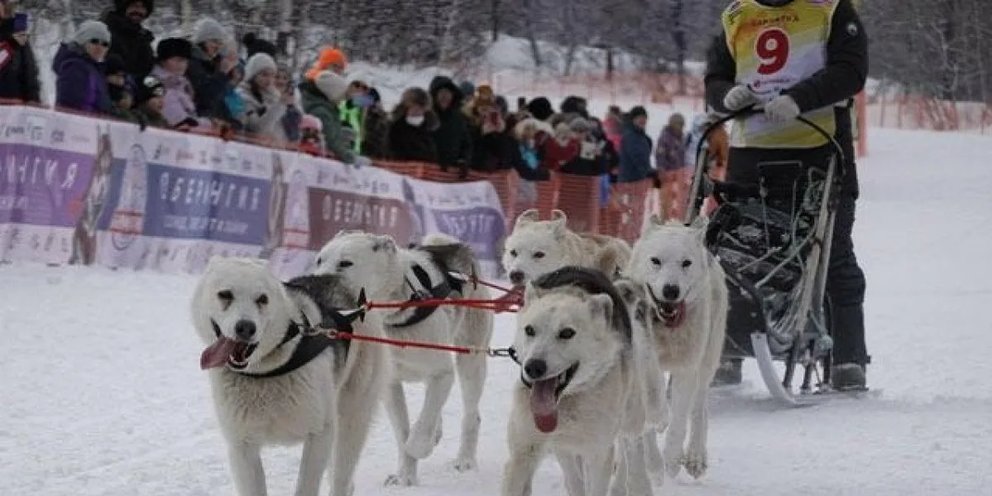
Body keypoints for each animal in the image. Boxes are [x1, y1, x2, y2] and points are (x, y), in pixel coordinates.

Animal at [190, 258, 388, 494]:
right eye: (225, 294)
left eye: (262, 299)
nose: (246, 328)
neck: (265, 372)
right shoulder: (242, 446)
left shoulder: (320, 434)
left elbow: (306, 487)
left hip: (351, 421)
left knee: (341, 479)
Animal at [314, 231, 492, 486]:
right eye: (319, 260)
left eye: (345, 263)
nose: (315, 282)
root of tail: (455, 246)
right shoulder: (391, 385)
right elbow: (403, 431)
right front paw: (406, 476)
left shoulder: (442, 373)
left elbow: (419, 430)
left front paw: (419, 448)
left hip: (470, 362)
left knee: (470, 416)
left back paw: (465, 460)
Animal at [500, 268, 656, 496]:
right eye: (529, 330)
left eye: (567, 333)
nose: (533, 367)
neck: (567, 401)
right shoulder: (523, 452)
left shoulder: (599, 453)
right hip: (563, 448)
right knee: (574, 477)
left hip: (631, 417)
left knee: (633, 446)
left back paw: (639, 481)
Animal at [628, 215, 728, 482]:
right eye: (655, 261)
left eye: (686, 263)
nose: (671, 290)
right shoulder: (644, 367)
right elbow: (649, 421)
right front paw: (653, 464)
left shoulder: (686, 369)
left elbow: (679, 421)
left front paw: (672, 460)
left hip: (707, 362)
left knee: (699, 408)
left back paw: (694, 457)